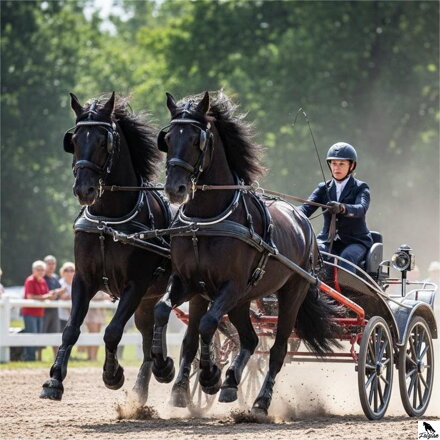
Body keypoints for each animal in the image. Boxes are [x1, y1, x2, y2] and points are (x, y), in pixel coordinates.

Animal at [40, 92, 172, 404]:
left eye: (104, 141)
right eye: (74, 140)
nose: (83, 190)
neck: (109, 221)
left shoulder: (135, 284)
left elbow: (112, 331)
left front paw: (112, 375)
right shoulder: (83, 279)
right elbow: (70, 330)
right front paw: (54, 380)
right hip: (150, 298)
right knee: (149, 335)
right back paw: (145, 385)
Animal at [150, 91, 341, 415]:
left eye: (197, 140)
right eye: (168, 137)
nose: (175, 189)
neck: (206, 221)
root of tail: (302, 221)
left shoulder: (231, 286)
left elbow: (208, 324)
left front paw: (209, 376)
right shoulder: (188, 282)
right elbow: (164, 311)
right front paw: (164, 368)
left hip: (291, 292)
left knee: (276, 350)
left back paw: (260, 401)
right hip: (242, 300)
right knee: (249, 339)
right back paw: (227, 384)